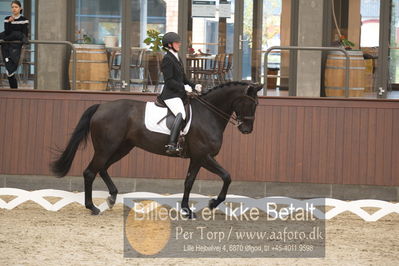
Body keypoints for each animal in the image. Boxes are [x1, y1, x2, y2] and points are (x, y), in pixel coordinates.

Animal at [50, 81, 262, 216]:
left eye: (256, 105)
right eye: (250, 103)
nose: (247, 129)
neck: (208, 114)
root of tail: (101, 106)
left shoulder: (196, 159)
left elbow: (189, 182)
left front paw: (186, 210)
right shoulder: (204, 156)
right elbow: (227, 176)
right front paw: (212, 203)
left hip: (122, 148)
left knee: (102, 169)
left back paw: (111, 198)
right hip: (106, 148)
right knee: (90, 172)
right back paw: (92, 207)